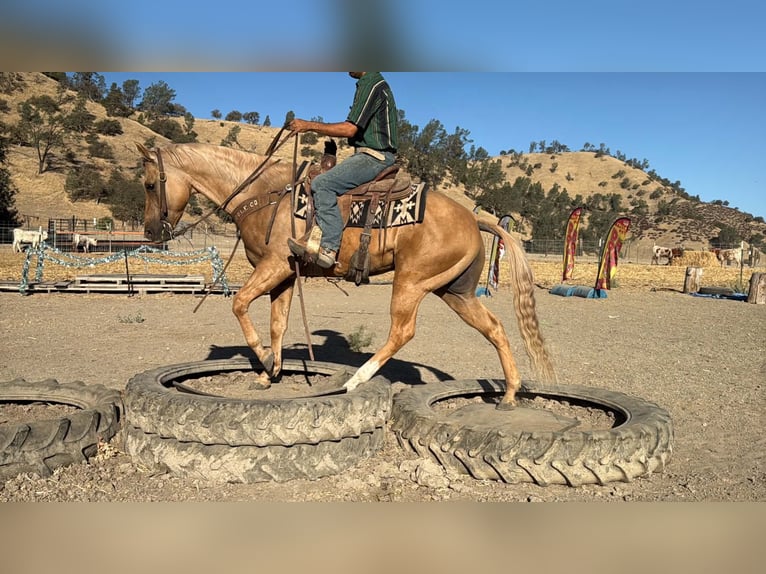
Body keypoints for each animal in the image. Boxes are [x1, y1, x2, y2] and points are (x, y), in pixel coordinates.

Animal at [136, 141, 555, 408]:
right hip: (455, 291)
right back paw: (510, 395)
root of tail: (473, 219)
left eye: (149, 183)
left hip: (412, 283)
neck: (265, 193)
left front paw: (263, 359)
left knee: (402, 332)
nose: (151, 232)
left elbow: (239, 304)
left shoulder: (274, 266)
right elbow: (277, 324)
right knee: (495, 328)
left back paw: (355, 380)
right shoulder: (285, 277)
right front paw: (271, 371)